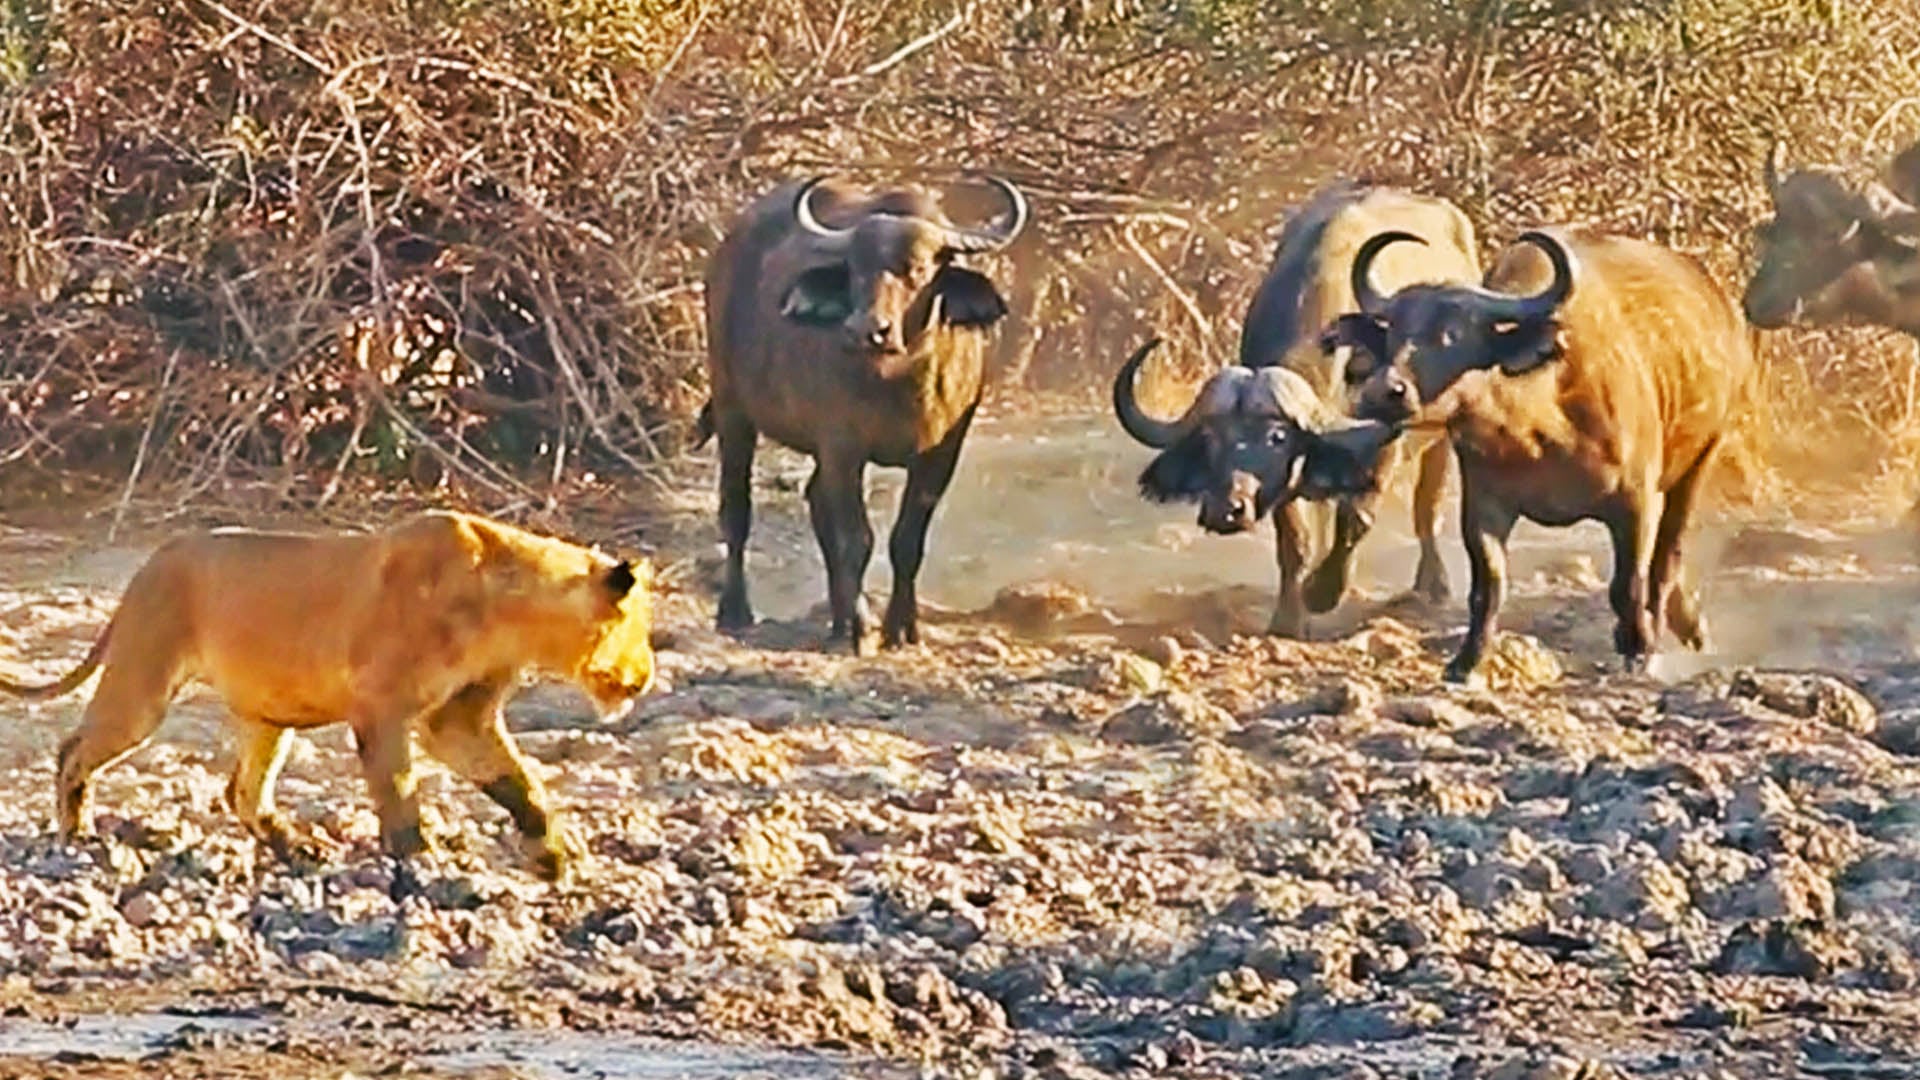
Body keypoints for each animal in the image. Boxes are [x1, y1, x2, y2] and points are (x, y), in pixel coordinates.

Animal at [0, 510, 657, 882]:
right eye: (638, 625)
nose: (647, 676)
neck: (512, 614)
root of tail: (146, 567)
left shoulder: (459, 716)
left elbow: (519, 783)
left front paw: (551, 859)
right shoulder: (382, 705)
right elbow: (398, 790)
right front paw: (419, 862)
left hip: (270, 712)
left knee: (242, 790)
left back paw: (299, 848)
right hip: (144, 680)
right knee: (74, 748)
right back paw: (77, 834)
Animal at [697, 175, 1029, 652]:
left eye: (919, 269)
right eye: (854, 269)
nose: (865, 330)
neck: (901, 380)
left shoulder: (942, 453)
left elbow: (907, 540)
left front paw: (901, 627)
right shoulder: (842, 446)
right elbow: (856, 539)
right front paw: (857, 630)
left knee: (815, 501)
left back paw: (838, 617)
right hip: (732, 407)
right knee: (736, 509)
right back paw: (737, 611)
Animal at [1112, 182, 1482, 637]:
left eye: (1277, 437)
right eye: (1212, 438)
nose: (1226, 510)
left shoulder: (1381, 452)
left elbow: (1356, 520)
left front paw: (1322, 592)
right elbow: (1295, 541)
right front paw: (1289, 616)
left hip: (1440, 441)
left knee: (1426, 509)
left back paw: (1433, 585)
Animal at [1321, 227, 1755, 682]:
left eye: (1451, 334)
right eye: (1392, 333)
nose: (1380, 391)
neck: (1536, 425)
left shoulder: (1635, 500)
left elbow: (1628, 584)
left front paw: (1638, 649)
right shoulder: (1485, 504)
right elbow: (1488, 586)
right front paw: (1466, 660)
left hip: (1701, 458)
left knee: (1666, 557)